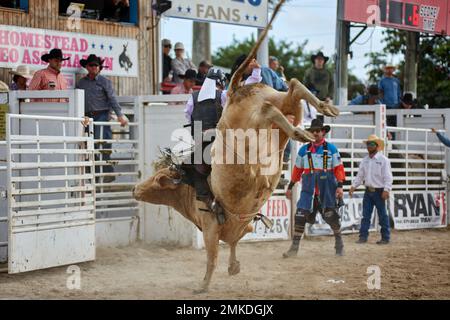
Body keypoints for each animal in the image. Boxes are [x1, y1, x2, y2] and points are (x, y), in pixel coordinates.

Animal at [132, 0, 340, 294]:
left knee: (269, 110)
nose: (135, 189)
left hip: (247, 130)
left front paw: (203, 285)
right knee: (293, 89)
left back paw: (303, 130)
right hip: (284, 111)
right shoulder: (238, 228)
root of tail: (234, 91)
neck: (189, 189)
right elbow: (233, 243)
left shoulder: (210, 228)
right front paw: (233, 267)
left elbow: (213, 256)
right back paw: (316, 115)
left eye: (156, 179)